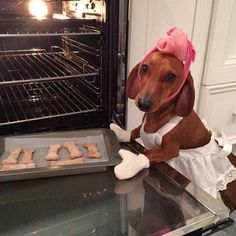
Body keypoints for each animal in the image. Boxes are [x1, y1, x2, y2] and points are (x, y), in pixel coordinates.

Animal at [111, 28, 236, 201]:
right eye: (144, 68)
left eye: (171, 77)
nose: (144, 103)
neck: (157, 117)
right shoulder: (141, 128)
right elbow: (134, 131)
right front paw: (120, 132)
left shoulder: (169, 150)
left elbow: (149, 154)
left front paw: (132, 164)